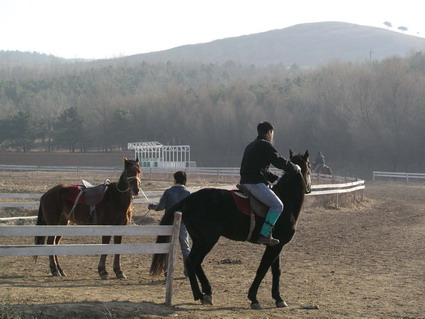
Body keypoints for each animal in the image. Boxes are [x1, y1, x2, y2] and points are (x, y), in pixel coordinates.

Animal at [151, 150, 310, 310]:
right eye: (309, 166)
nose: (308, 188)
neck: (286, 200)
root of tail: (190, 199)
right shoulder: (275, 246)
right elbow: (263, 269)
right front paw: (254, 298)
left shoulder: (276, 245)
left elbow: (276, 271)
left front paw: (278, 298)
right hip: (208, 239)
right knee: (194, 260)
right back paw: (203, 294)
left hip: (199, 239)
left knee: (192, 262)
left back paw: (203, 294)